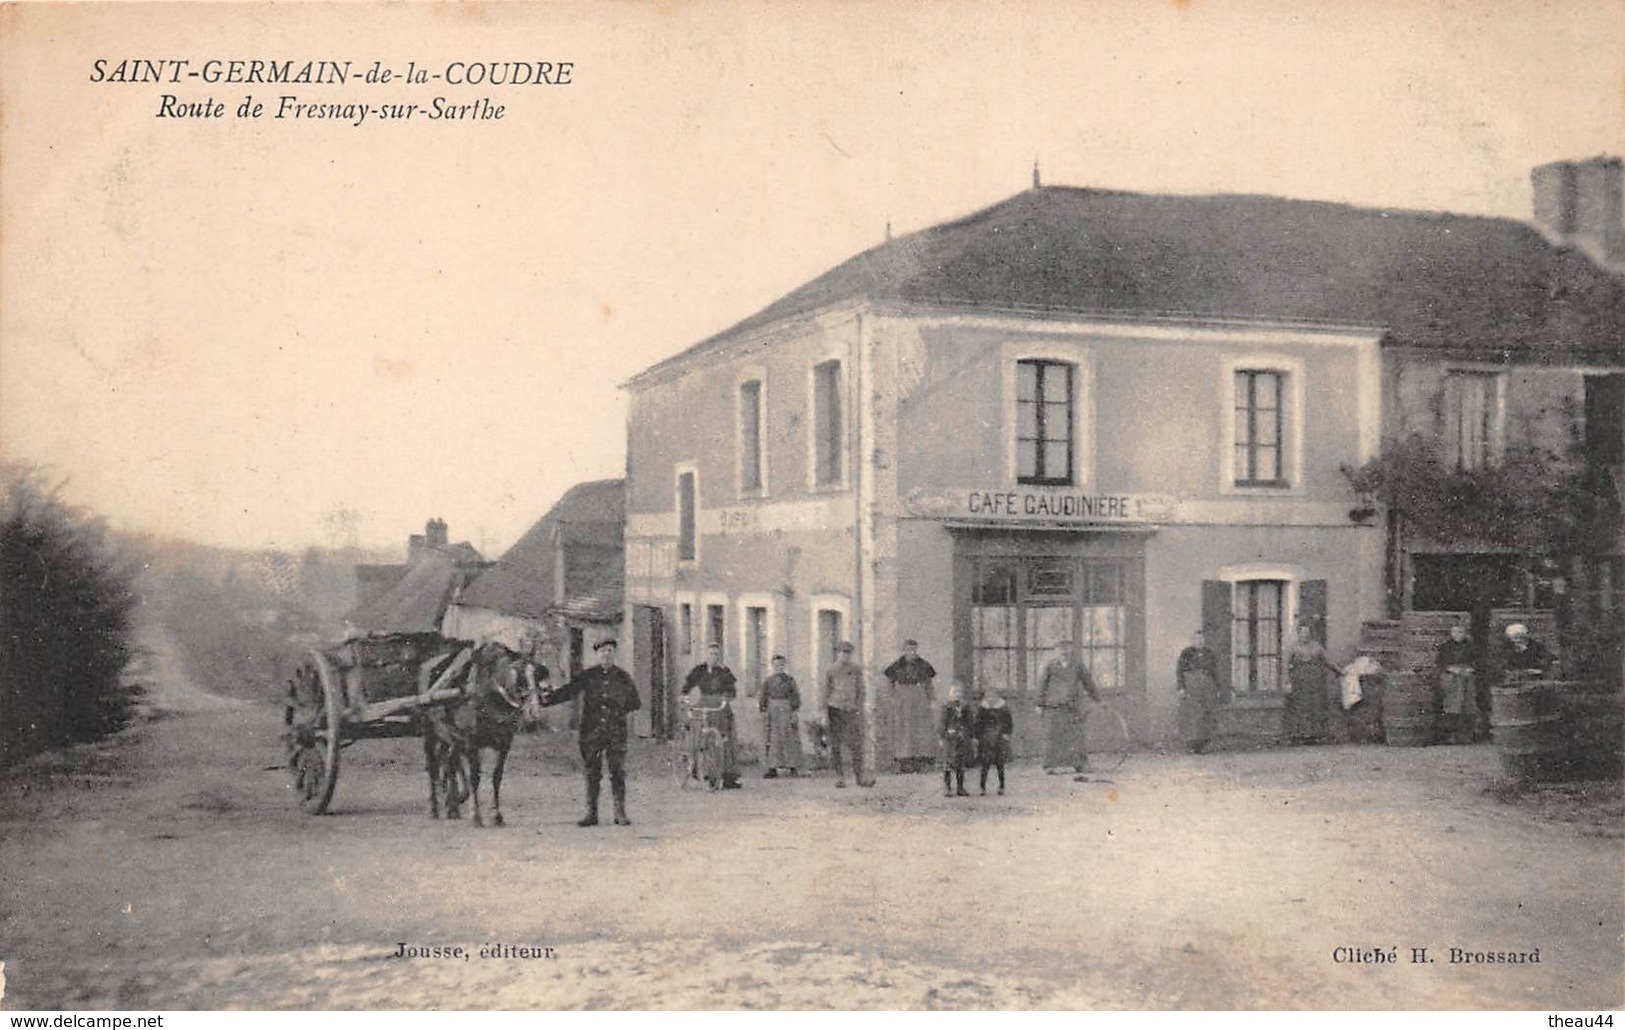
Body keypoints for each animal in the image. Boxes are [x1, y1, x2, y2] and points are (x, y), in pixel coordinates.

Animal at [419, 636, 546, 822]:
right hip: (430, 733)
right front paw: (476, 815)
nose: (533, 713)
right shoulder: (472, 742)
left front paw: (496, 814)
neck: (490, 693)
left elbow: (496, 776)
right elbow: (474, 777)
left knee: (450, 764)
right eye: (517, 673)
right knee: (433, 768)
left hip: (451, 738)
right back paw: (434, 808)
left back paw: (453, 808)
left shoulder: (505, 743)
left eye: (537, 674)